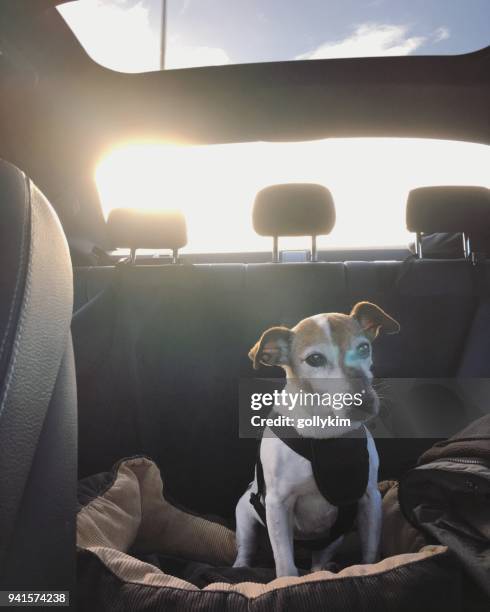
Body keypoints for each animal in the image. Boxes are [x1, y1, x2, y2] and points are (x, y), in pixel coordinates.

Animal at [233, 302, 398, 580]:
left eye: (364, 348)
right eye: (315, 359)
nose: (362, 401)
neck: (325, 432)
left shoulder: (369, 498)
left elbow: (370, 550)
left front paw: (371, 567)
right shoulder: (277, 505)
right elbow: (285, 566)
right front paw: (286, 582)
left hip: (334, 538)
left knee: (318, 562)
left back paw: (324, 567)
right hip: (245, 515)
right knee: (246, 549)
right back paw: (240, 567)